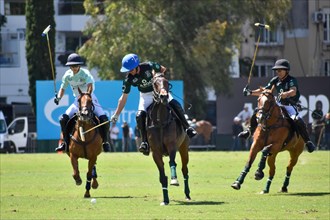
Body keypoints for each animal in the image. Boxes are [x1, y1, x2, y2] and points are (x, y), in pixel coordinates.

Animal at [147, 73, 191, 205]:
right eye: (155, 83)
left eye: (167, 82)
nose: (164, 96)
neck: (160, 121)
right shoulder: (155, 152)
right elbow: (162, 176)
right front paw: (165, 200)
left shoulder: (172, 146)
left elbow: (172, 163)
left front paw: (174, 180)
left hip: (184, 148)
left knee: (184, 170)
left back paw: (187, 194)